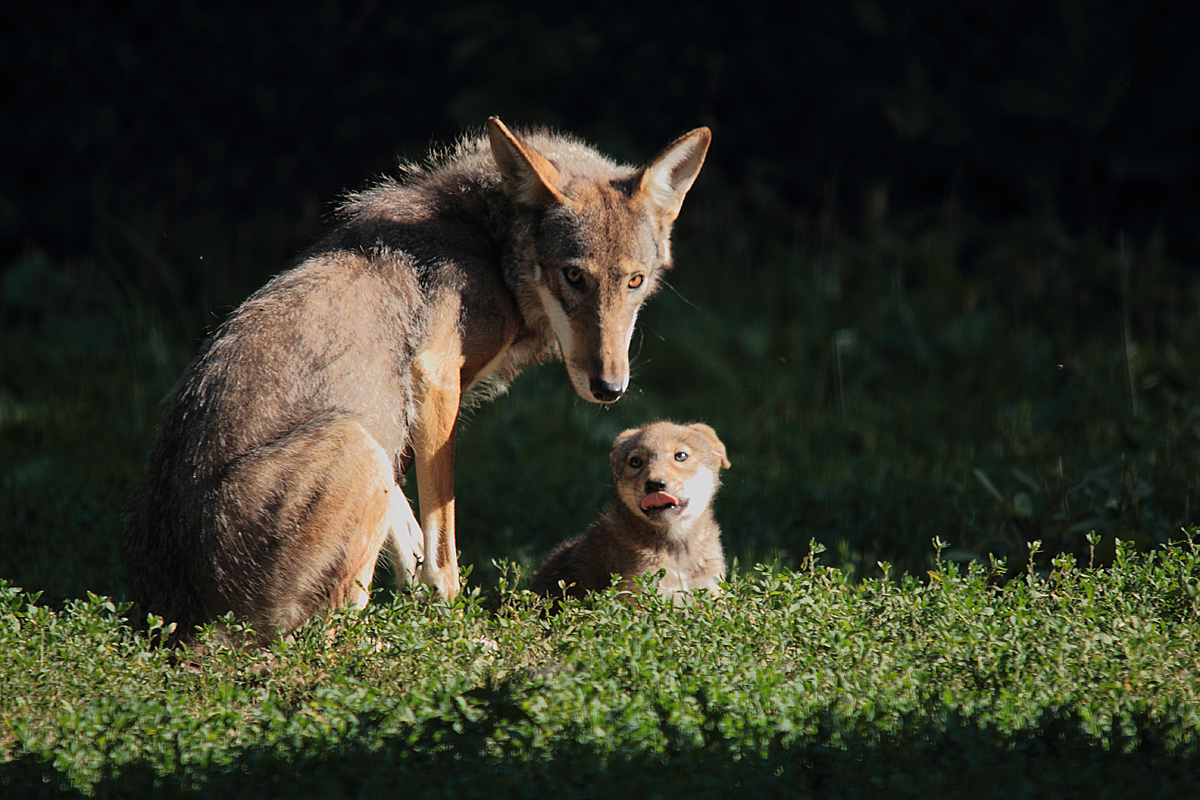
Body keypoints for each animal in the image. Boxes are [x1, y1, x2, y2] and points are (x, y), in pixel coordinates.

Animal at [530, 421, 731, 603]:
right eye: (635, 461)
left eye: (681, 456)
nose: (655, 485)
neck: (675, 547)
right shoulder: (637, 595)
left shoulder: (710, 590)